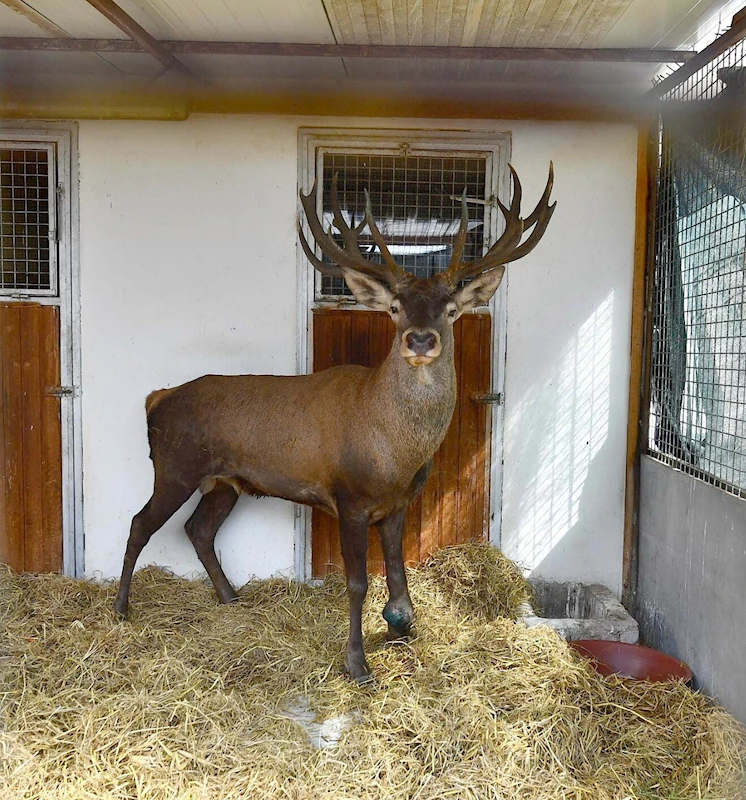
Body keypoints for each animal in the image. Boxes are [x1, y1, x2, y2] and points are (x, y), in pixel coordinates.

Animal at [113, 162, 556, 680]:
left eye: (450, 310)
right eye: (395, 307)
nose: (420, 339)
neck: (394, 451)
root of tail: (155, 399)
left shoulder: (398, 504)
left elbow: (398, 577)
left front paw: (404, 631)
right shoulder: (350, 497)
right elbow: (358, 582)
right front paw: (357, 663)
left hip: (225, 482)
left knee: (198, 530)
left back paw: (231, 597)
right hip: (175, 466)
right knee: (140, 523)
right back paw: (121, 608)